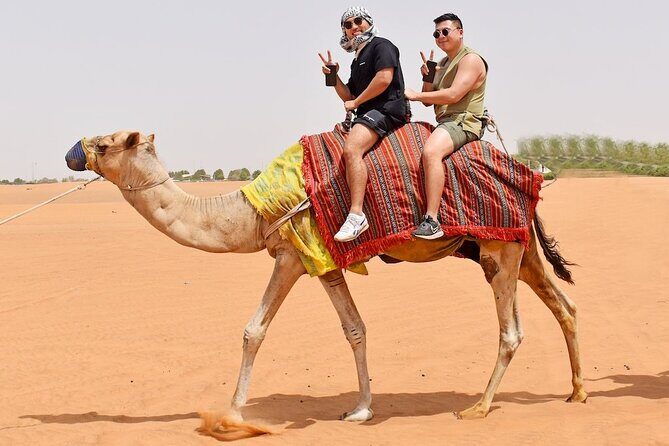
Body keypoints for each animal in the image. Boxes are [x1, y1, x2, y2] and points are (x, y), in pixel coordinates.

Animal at [65, 130, 587, 424]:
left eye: (106, 143)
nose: (73, 151)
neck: (254, 210)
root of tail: (528, 176)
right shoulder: (325, 263)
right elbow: (355, 328)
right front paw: (361, 409)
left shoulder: (290, 255)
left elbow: (254, 330)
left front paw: (232, 411)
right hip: (516, 247)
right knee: (565, 306)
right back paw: (577, 392)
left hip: (500, 251)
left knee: (512, 330)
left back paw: (478, 407)